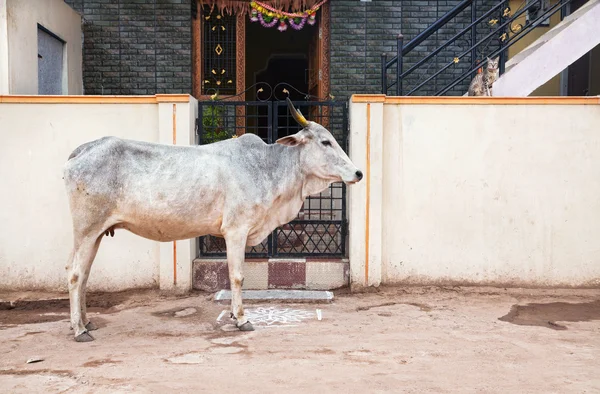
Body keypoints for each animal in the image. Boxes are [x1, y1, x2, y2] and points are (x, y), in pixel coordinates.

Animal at [62, 98, 360, 342]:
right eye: (325, 142)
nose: (358, 173)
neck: (268, 167)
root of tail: (83, 150)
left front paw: (234, 315)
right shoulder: (236, 230)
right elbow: (237, 276)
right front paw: (241, 319)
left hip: (96, 234)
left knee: (84, 274)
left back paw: (86, 321)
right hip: (86, 230)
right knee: (75, 274)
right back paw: (79, 330)